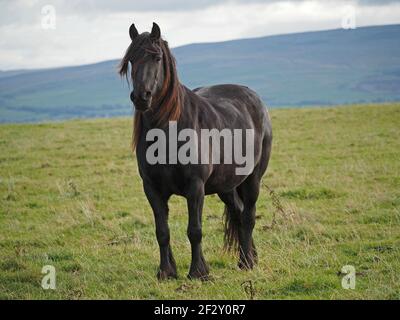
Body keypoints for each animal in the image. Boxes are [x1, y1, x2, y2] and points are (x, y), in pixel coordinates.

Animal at [119, 22, 272, 280]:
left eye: (157, 57)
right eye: (131, 60)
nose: (141, 97)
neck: (168, 132)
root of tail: (254, 97)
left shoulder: (196, 187)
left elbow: (195, 230)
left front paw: (199, 272)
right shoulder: (152, 189)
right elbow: (162, 231)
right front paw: (166, 272)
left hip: (252, 179)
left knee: (248, 216)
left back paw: (247, 262)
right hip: (226, 186)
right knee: (239, 214)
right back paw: (248, 258)